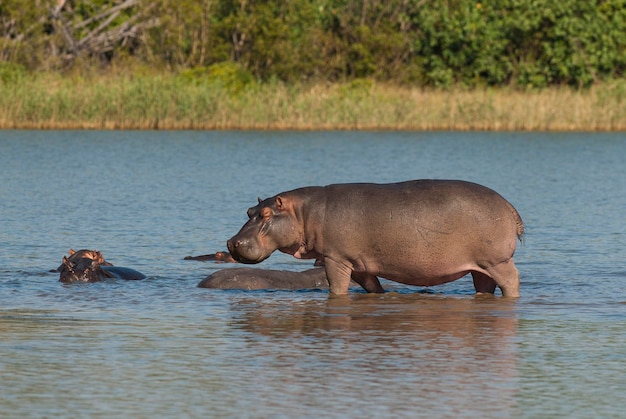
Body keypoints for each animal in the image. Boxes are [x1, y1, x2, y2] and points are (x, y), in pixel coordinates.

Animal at [227, 179, 524, 296]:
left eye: (266, 214)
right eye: (249, 211)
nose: (231, 242)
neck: (303, 213)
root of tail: (509, 206)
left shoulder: (336, 258)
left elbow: (337, 287)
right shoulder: (360, 265)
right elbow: (373, 287)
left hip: (498, 261)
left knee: (512, 281)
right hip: (481, 267)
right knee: (484, 286)